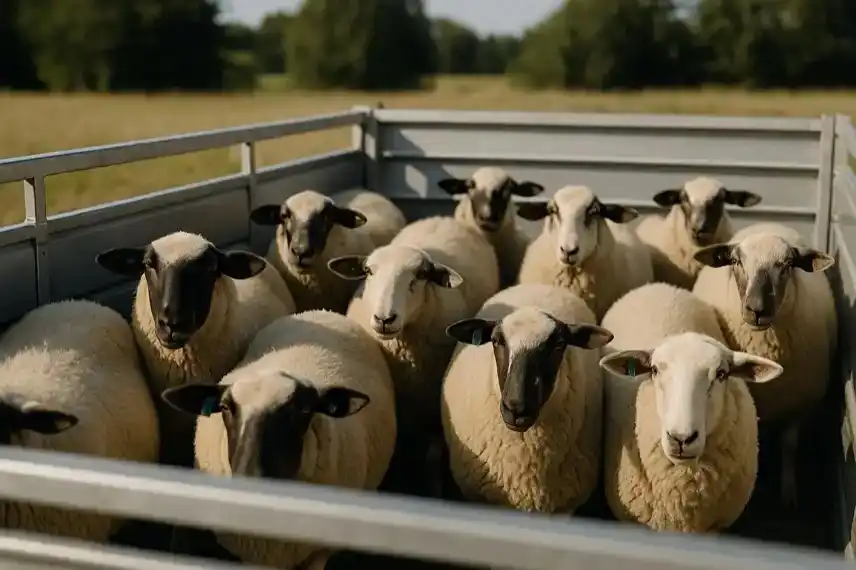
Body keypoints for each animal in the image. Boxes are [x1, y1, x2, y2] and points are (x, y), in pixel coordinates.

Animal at [327, 215, 500, 495]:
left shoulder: (433, 413)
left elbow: (431, 458)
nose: (384, 319)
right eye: (368, 271)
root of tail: (442, 218)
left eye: (420, 276)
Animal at [691, 223, 837, 509]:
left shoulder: (798, 405)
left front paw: (788, 494)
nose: (757, 309)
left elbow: (789, 446)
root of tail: (767, 224)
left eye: (788, 264)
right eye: (736, 261)